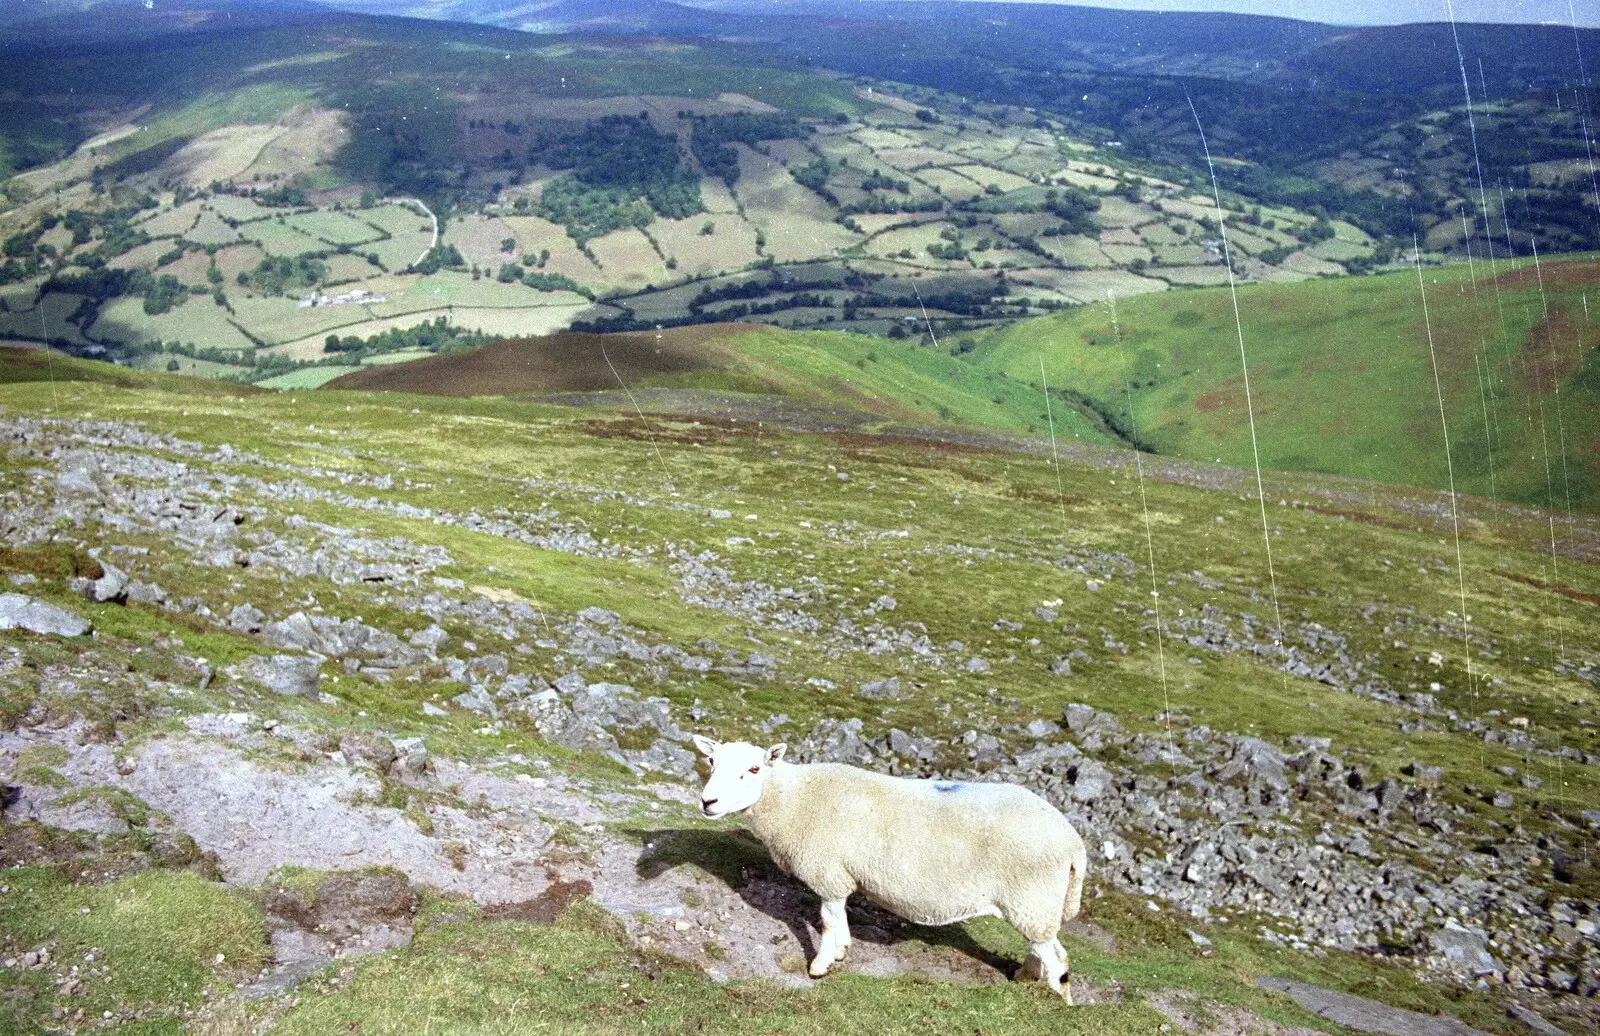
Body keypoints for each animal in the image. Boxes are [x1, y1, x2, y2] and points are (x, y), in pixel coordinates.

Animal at [691, 732, 1088, 997]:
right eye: (712, 762)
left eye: (754, 768)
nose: (708, 802)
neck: (795, 799)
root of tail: (1073, 842)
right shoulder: (840, 876)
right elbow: (839, 920)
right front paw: (841, 951)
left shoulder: (829, 872)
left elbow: (828, 920)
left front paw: (821, 965)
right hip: (1035, 904)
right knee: (1043, 947)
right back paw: (1025, 977)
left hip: (1031, 897)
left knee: (1058, 960)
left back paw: (1056, 1002)